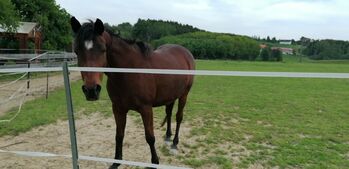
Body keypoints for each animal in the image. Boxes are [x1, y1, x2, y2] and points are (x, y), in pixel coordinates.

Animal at [70, 17, 196, 168]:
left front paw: (155, 162)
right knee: (169, 113)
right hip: (170, 95)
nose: (91, 90)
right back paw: (167, 136)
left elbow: (150, 137)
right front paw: (116, 161)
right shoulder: (118, 108)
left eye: (102, 49)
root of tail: (186, 52)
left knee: (178, 117)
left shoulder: (146, 109)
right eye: (77, 51)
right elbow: (119, 135)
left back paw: (175, 143)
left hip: (184, 95)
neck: (129, 72)